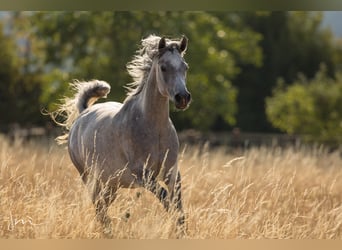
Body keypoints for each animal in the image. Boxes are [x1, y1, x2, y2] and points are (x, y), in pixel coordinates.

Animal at [54, 34, 191, 236]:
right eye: (163, 67)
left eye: (185, 67)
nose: (183, 98)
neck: (154, 129)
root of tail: (83, 114)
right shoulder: (142, 174)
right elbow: (166, 200)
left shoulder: (172, 173)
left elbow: (178, 209)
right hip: (90, 179)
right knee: (100, 209)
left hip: (111, 184)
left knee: (103, 208)